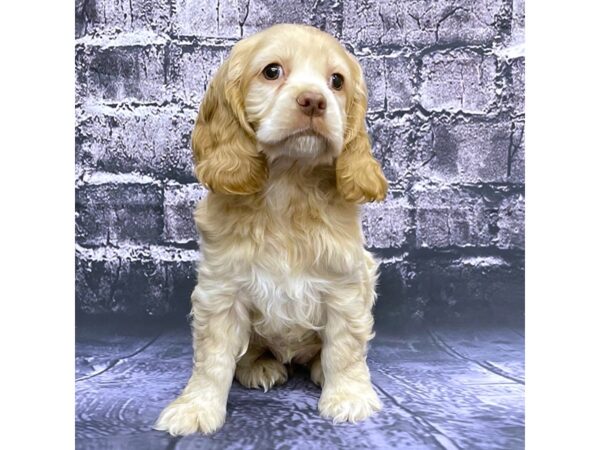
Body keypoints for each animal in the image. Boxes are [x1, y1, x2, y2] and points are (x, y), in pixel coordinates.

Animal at [155, 22, 390, 434]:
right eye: (272, 71)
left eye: (337, 81)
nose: (314, 101)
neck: (288, 183)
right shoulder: (221, 291)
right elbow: (212, 358)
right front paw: (197, 407)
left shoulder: (346, 287)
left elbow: (345, 348)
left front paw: (348, 396)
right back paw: (260, 367)